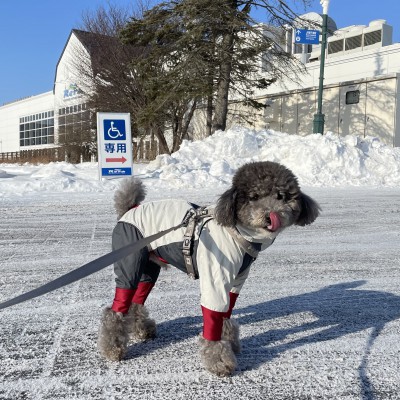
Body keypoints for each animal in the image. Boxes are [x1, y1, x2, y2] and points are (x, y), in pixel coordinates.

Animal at [98, 161, 320, 376]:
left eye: (281, 196)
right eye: (254, 197)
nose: (270, 216)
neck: (236, 231)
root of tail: (130, 209)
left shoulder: (236, 281)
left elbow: (225, 313)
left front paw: (229, 340)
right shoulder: (216, 279)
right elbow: (213, 316)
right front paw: (219, 361)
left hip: (149, 268)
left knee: (137, 302)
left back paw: (143, 330)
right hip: (129, 265)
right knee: (117, 309)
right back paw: (113, 348)